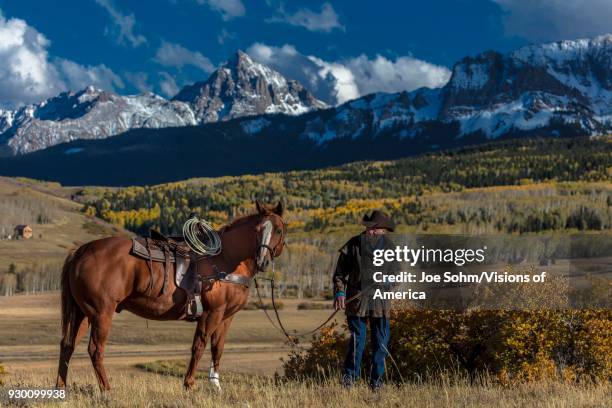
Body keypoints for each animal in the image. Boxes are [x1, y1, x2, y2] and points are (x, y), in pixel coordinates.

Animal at [56, 202, 286, 390]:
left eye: (278, 229)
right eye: (257, 230)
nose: (263, 261)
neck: (225, 259)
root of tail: (81, 251)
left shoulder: (227, 316)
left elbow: (217, 348)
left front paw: (216, 386)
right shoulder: (212, 313)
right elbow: (199, 346)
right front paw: (189, 384)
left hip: (82, 313)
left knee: (67, 345)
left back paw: (61, 388)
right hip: (101, 313)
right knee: (95, 349)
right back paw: (106, 390)